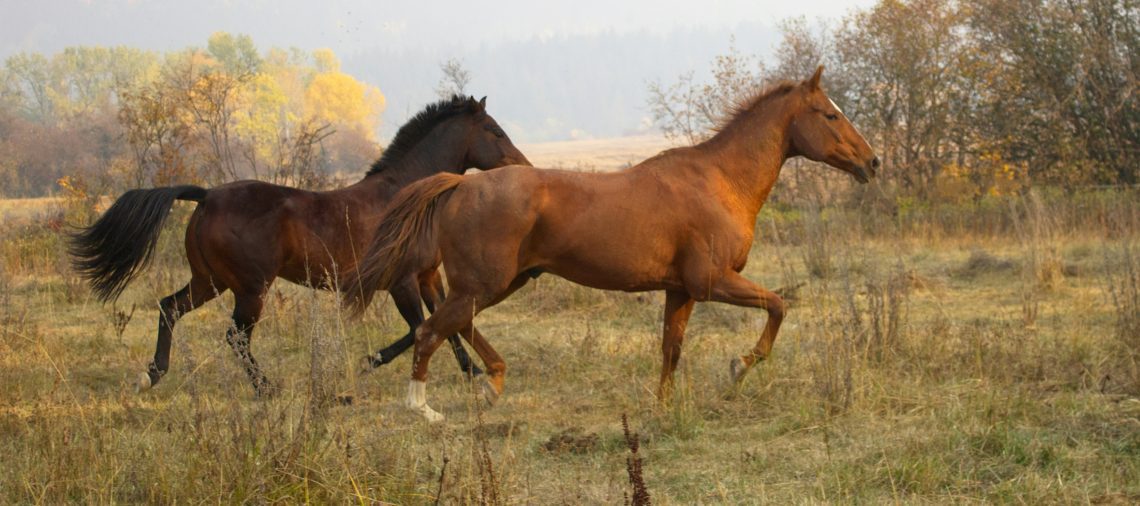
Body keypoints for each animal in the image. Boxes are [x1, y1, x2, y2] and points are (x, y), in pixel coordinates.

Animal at [69, 95, 531, 396]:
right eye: (495, 131)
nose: (525, 168)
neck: (409, 194)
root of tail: (207, 196)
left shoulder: (428, 278)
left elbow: (448, 326)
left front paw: (473, 374)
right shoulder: (400, 283)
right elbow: (420, 329)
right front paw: (368, 363)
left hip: (210, 281)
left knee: (169, 308)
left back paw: (152, 374)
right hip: (250, 289)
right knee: (235, 337)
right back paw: (266, 388)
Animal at [347, 67, 879, 422]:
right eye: (830, 115)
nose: (872, 163)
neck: (720, 181)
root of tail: (460, 183)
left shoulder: (680, 290)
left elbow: (671, 349)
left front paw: (662, 408)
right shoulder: (712, 282)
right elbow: (778, 306)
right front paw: (737, 366)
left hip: (497, 284)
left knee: (453, 326)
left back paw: (492, 383)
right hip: (481, 285)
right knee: (430, 331)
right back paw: (425, 409)